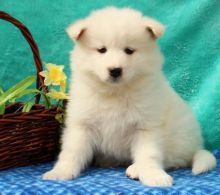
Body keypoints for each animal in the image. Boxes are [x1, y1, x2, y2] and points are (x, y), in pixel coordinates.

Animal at [43, 6, 217, 187]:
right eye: (102, 50)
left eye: (129, 51)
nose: (115, 70)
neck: (115, 92)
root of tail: (196, 147)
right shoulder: (82, 124)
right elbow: (71, 151)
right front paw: (59, 172)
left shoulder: (147, 127)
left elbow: (149, 155)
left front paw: (154, 176)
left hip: (178, 139)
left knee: (171, 160)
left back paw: (135, 169)